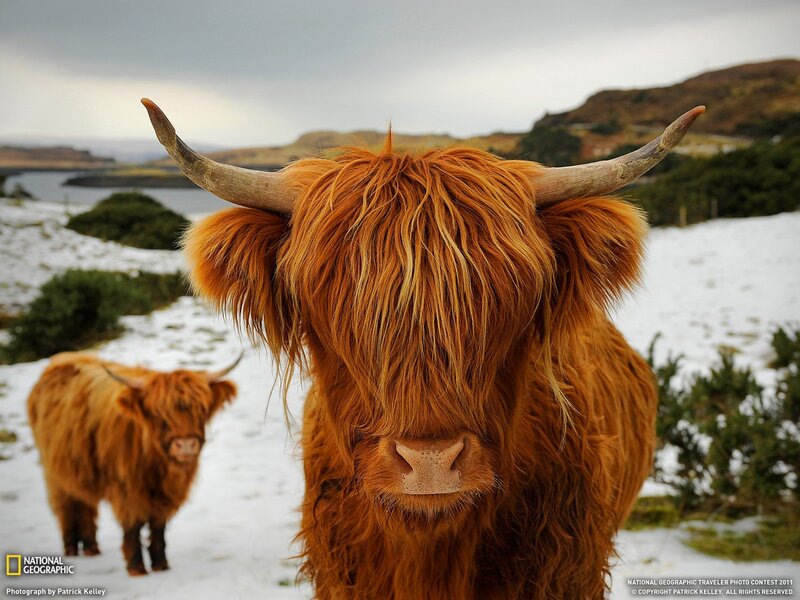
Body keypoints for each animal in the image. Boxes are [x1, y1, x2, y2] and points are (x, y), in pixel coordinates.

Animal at [27, 352, 240, 576]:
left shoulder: (165, 495)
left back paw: (91, 548)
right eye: (158, 414)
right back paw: (70, 548)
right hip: (55, 473)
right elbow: (133, 526)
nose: (186, 445)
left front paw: (161, 564)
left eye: (201, 409)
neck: (156, 466)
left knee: (85, 504)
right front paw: (136, 567)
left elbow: (158, 527)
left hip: (80, 470)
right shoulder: (126, 490)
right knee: (66, 505)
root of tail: (58, 360)